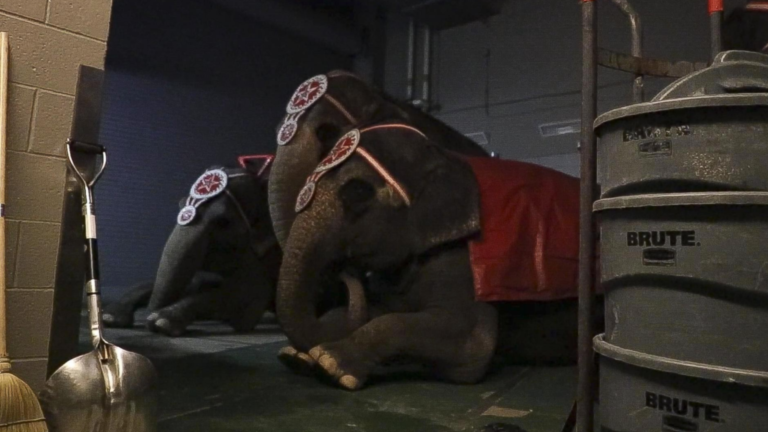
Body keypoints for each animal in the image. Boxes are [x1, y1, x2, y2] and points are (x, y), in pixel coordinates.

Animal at [99, 156, 284, 338]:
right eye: (181, 205)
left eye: (223, 222)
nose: (147, 321)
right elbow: (196, 282)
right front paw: (110, 318)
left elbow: (245, 295)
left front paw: (161, 322)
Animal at [272, 122, 604, 392]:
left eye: (357, 194)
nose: (343, 272)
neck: (442, 156)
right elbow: (382, 309)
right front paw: (297, 359)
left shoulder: (462, 258)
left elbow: (470, 343)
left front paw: (330, 363)